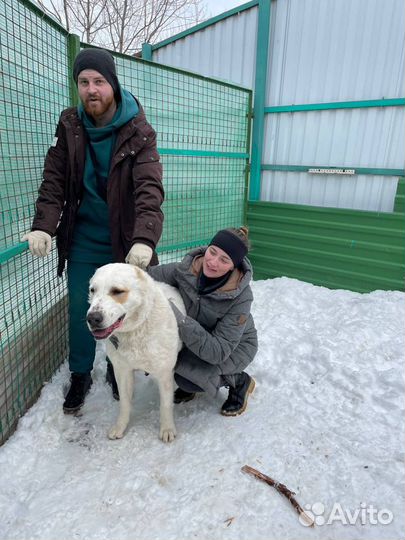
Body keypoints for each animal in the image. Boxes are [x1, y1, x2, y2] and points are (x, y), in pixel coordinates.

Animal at [87, 262, 185, 442]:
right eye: (93, 290)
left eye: (117, 291)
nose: (92, 318)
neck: (136, 330)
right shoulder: (122, 371)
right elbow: (125, 403)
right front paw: (120, 427)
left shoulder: (164, 373)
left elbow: (165, 405)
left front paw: (167, 428)